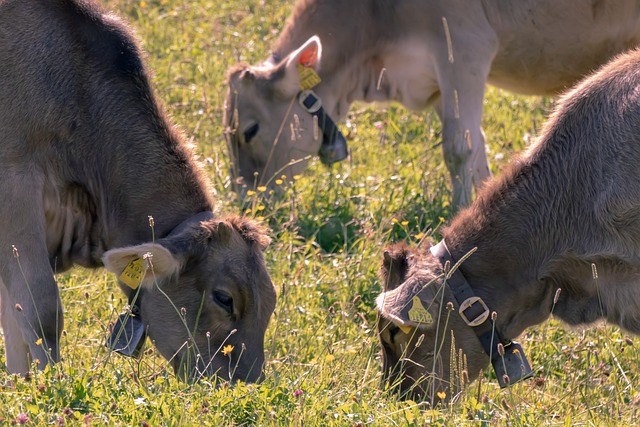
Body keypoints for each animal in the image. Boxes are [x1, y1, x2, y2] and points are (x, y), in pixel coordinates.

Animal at [0, 0, 276, 382]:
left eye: (271, 300)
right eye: (224, 298)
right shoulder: (16, 186)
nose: (247, 384)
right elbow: (40, 311)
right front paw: (51, 388)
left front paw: (21, 387)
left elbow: (14, 319)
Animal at [221, 0, 640, 209]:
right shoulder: (437, 80)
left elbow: (458, 148)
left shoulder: (464, 47)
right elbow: (473, 146)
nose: (247, 203)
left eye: (250, 130)